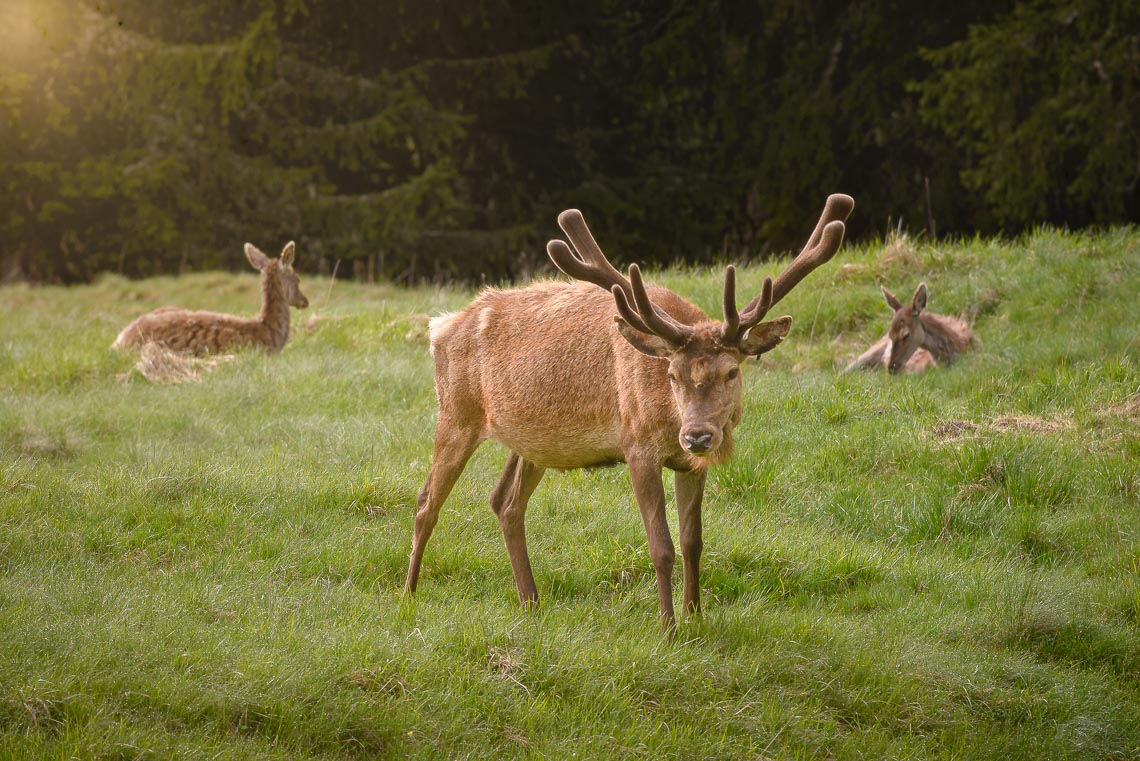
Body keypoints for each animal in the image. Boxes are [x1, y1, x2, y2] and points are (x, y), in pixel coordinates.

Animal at [405, 194, 852, 628]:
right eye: (672, 374)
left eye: (732, 371)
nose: (698, 435)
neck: (668, 418)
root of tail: (441, 326)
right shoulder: (637, 446)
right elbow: (661, 547)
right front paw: (669, 628)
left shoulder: (690, 464)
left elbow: (693, 542)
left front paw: (696, 617)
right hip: (456, 413)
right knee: (427, 501)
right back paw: (408, 593)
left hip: (531, 444)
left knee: (505, 502)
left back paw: (531, 601)